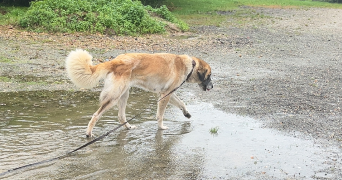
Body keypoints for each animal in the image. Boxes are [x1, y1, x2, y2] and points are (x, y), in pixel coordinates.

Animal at [65, 48, 212, 136]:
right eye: (209, 75)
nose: (212, 86)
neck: (189, 65)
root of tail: (116, 61)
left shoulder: (167, 93)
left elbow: (182, 103)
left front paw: (187, 113)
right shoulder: (165, 95)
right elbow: (160, 115)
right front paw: (161, 128)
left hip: (124, 95)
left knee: (121, 116)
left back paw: (128, 128)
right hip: (114, 97)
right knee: (96, 115)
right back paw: (89, 133)